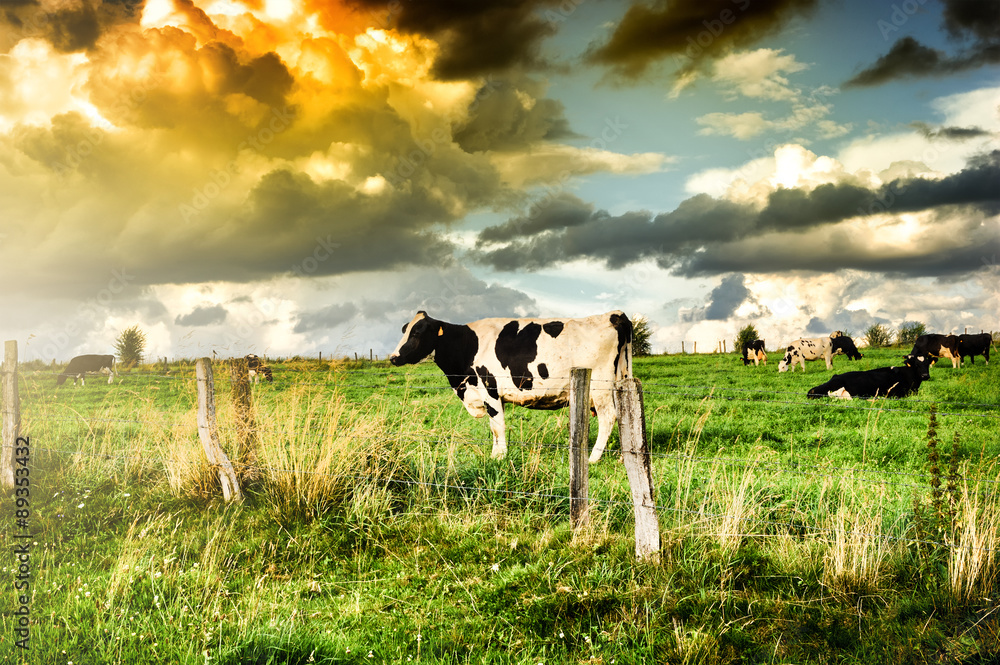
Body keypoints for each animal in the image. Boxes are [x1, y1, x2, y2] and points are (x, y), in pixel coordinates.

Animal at [386, 310, 628, 462]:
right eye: (405, 330)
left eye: (417, 332)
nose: (393, 357)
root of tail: (613, 315)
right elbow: (494, 427)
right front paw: (495, 454)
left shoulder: (489, 389)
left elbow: (497, 425)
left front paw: (500, 457)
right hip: (620, 381)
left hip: (600, 387)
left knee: (608, 418)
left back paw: (593, 458)